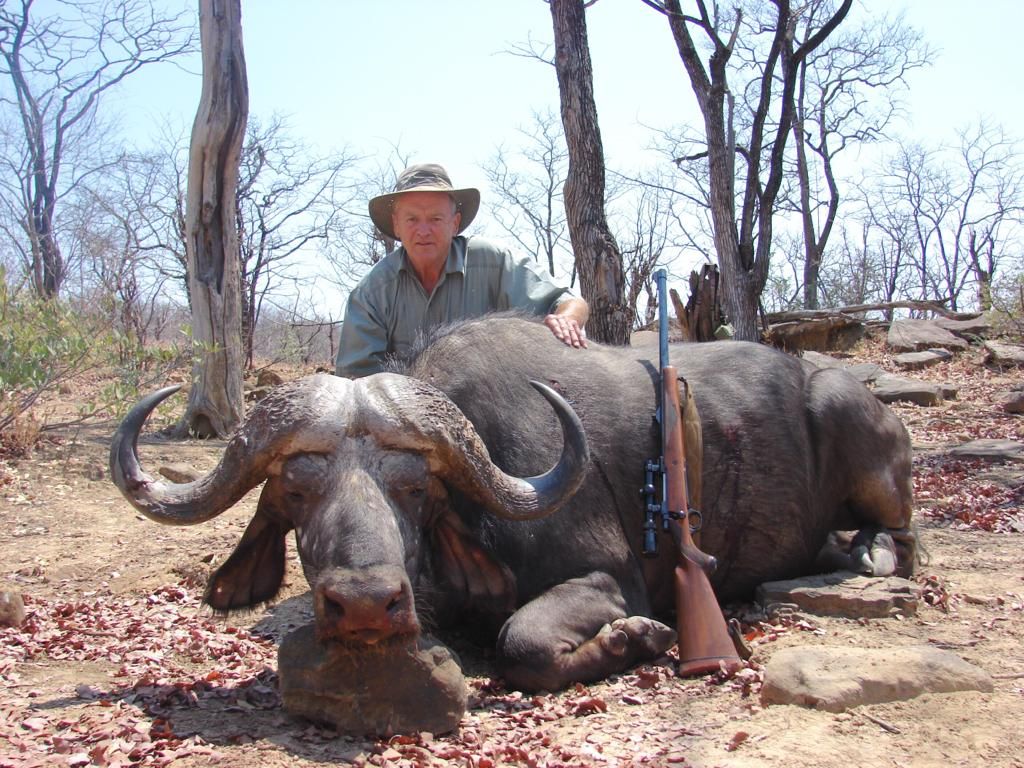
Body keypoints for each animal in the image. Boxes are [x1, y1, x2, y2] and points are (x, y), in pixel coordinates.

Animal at [110, 314, 915, 693]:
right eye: (297, 492)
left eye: (415, 489)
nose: (366, 604)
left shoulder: (606, 579)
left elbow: (521, 642)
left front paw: (637, 639)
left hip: (855, 431)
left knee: (902, 535)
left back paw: (873, 554)